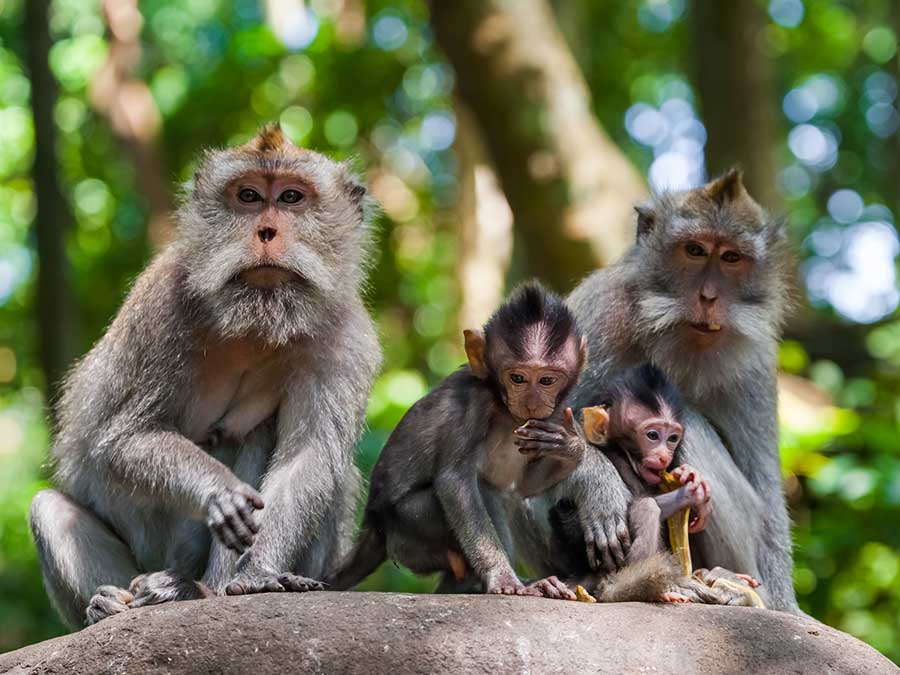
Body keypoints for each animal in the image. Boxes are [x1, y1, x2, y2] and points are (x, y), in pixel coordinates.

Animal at [29, 123, 380, 628]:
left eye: (292, 197)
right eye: (248, 196)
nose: (266, 230)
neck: (256, 320)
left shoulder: (347, 340)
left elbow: (308, 458)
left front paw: (256, 574)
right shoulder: (163, 307)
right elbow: (126, 438)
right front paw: (220, 492)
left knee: (267, 439)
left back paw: (197, 590)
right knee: (51, 510)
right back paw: (112, 603)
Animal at [326, 282, 588, 600]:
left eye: (547, 381)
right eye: (518, 378)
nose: (532, 401)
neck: (502, 407)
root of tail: (374, 526)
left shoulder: (550, 416)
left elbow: (523, 488)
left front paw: (570, 446)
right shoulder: (471, 406)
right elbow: (455, 482)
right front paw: (502, 577)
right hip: (408, 529)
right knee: (482, 491)